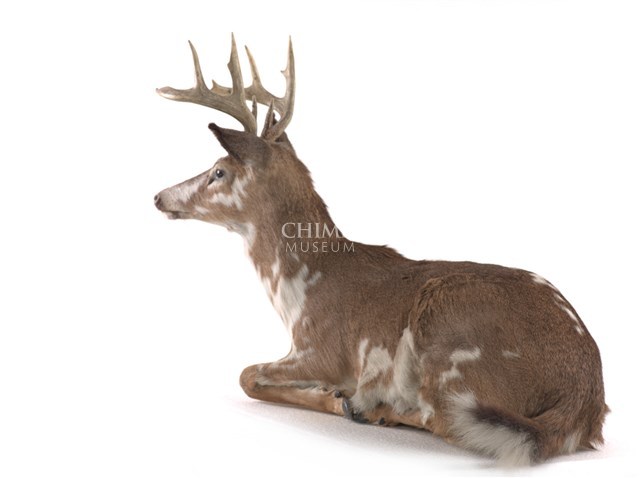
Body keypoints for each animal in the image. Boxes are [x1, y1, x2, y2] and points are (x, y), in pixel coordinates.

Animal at [153, 35, 607, 466]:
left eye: (218, 171)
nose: (159, 196)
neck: (298, 289)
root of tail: (585, 405)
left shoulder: (319, 350)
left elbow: (246, 375)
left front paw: (337, 397)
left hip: (446, 335)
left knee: (444, 420)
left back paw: (375, 410)